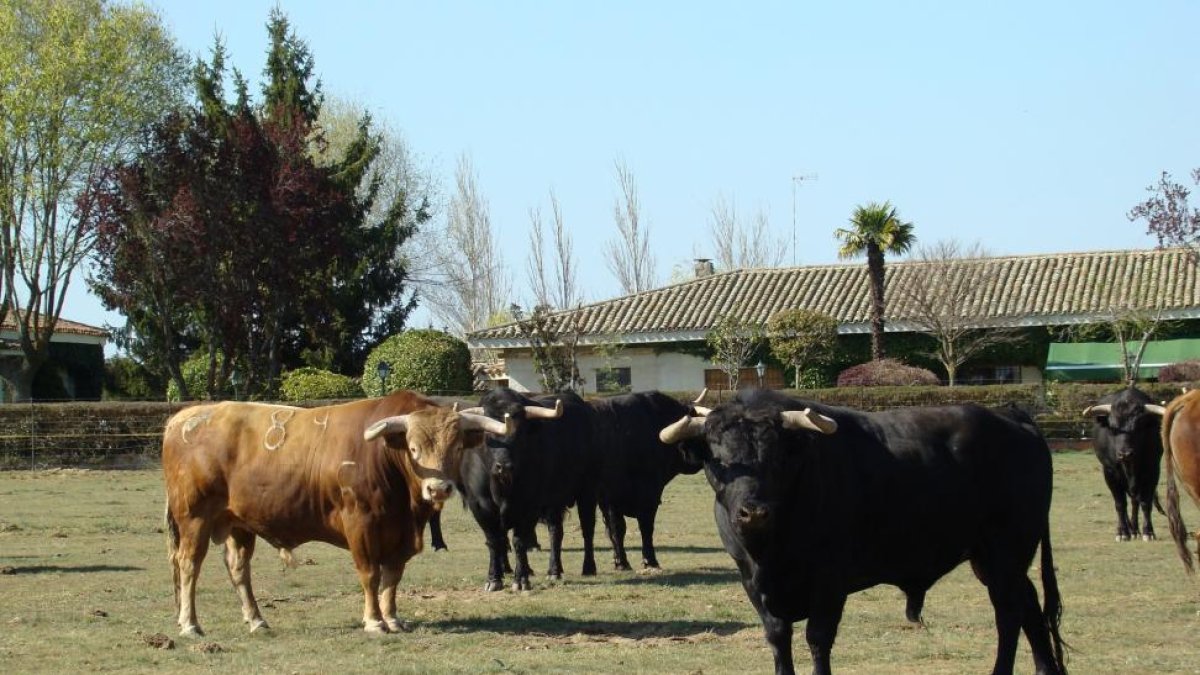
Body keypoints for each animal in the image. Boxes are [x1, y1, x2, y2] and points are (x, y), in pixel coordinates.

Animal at [164, 386, 511, 634]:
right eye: (413, 448)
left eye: (457, 447)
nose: (438, 489)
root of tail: (185, 418)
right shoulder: (361, 525)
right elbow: (371, 575)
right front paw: (374, 621)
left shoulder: (400, 536)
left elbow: (392, 577)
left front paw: (393, 618)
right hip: (194, 517)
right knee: (189, 564)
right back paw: (190, 624)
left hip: (238, 523)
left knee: (238, 568)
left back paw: (256, 620)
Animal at [662, 389, 1065, 672]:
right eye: (718, 460)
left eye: (777, 459)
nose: (753, 512)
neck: (770, 551)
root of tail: (1010, 416)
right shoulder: (752, 582)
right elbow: (778, 638)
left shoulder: (829, 582)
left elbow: (818, 639)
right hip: (993, 558)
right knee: (1029, 608)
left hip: (1005, 554)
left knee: (1009, 615)